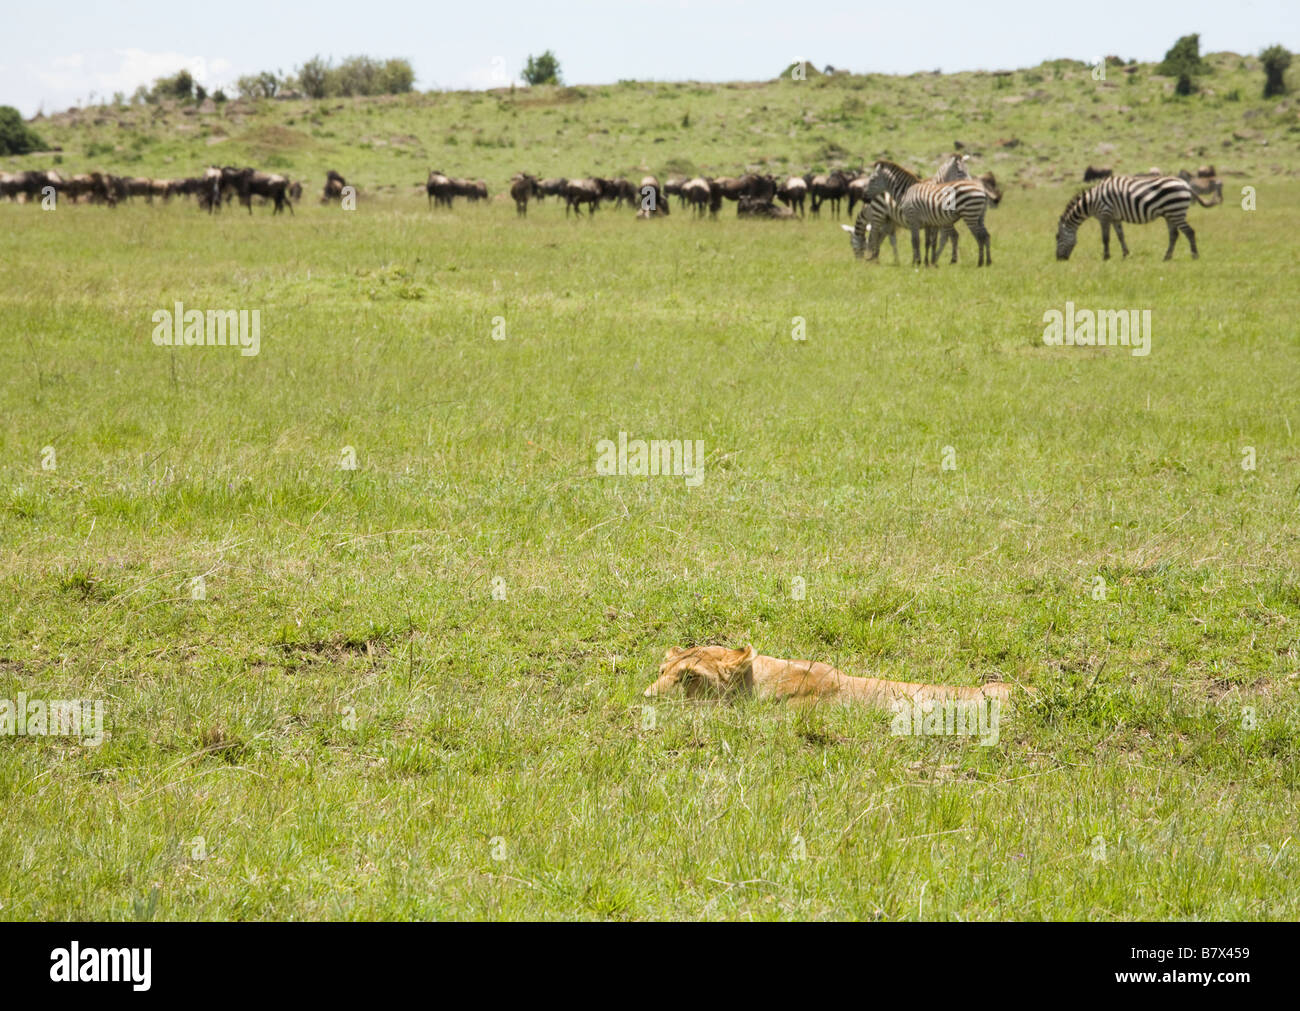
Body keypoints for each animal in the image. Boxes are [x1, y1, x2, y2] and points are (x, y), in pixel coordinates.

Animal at [863, 159, 993, 266]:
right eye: (961, 171)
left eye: (872, 179)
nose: (864, 197)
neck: (906, 191)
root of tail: (982, 190)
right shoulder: (928, 223)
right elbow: (928, 242)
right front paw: (926, 262)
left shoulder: (913, 220)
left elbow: (915, 241)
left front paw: (917, 262)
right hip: (978, 216)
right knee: (985, 235)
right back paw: (987, 261)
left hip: (969, 215)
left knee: (979, 236)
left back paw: (980, 262)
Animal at [1050, 172, 1222, 259]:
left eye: (1058, 237)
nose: (1058, 259)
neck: (1092, 202)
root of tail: (1186, 184)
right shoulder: (1115, 218)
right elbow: (1120, 236)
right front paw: (1125, 254)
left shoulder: (1105, 215)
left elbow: (1106, 238)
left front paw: (1106, 257)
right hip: (1170, 214)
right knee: (1174, 235)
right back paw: (1167, 257)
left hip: (1176, 211)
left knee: (1189, 232)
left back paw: (1195, 255)